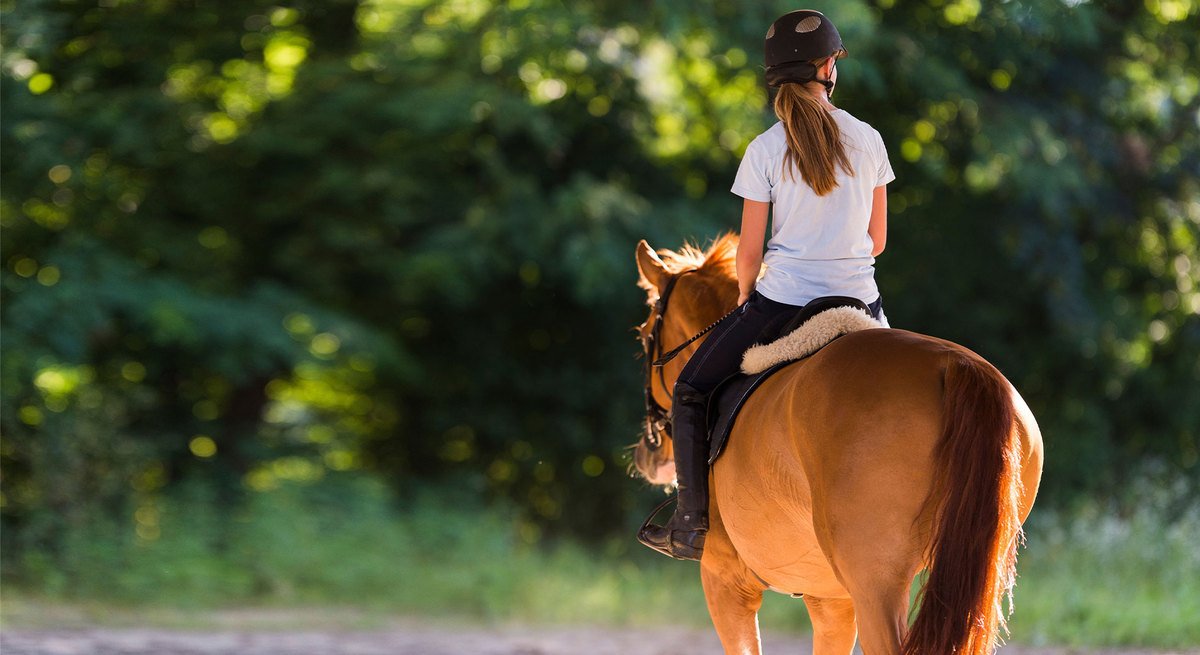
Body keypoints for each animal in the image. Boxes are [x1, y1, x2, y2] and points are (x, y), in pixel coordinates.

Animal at [628, 235, 1041, 652]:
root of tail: (954, 363)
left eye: (645, 336)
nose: (649, 455)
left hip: (876, 585)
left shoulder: (725, 582)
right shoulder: (831, 601)